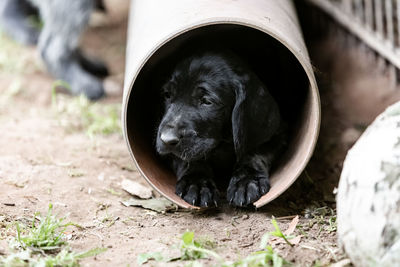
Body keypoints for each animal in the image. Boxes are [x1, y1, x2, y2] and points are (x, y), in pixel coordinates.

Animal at [156, 51, 288, 207]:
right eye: (167, 94)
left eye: (207, 101)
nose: (166, 139)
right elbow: (187, 159)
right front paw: (197, 183)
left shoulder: (277, 133)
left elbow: (254, 152)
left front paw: (246, 180)